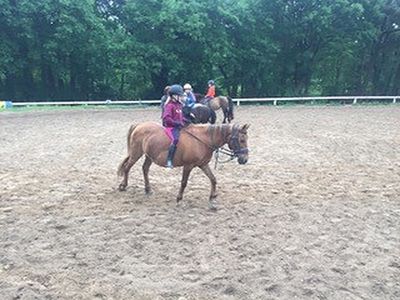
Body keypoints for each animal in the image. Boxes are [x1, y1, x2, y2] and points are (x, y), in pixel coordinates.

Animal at [116, 122, 250, 209]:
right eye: (242, 140)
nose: (245, 159)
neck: (203, 140)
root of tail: (138, 125)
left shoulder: (203, 164)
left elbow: (213, 179)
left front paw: (212, 198)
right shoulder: (188, 166)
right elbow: (184, 183)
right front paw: (179, 200)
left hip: (149, 156)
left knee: (144, 169)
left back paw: (148, 189)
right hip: (136, 153)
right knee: (127, 167)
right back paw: (123, 186)